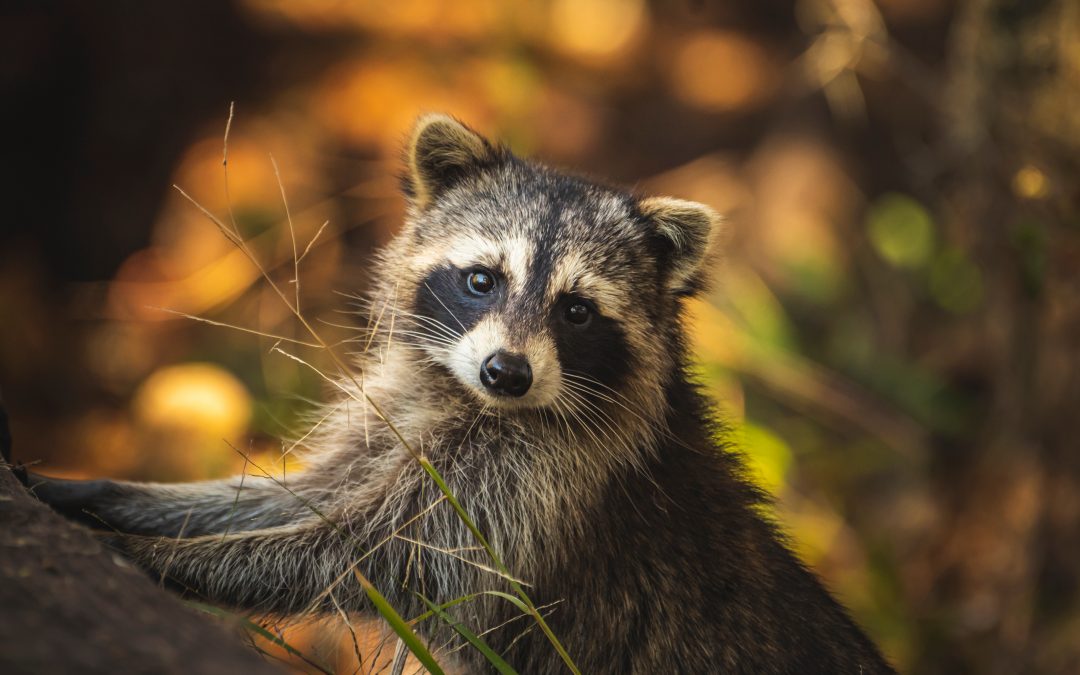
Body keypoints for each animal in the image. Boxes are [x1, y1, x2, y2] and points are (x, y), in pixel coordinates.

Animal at [24, 114, 893, 673]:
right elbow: (291, 498)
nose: (507, 371)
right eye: (482, 279)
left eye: (577, 310)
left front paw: (158, 555)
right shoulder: (400, 421)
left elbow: (364, 555)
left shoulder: (540, 484)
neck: (478, 404)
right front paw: (116, 498)